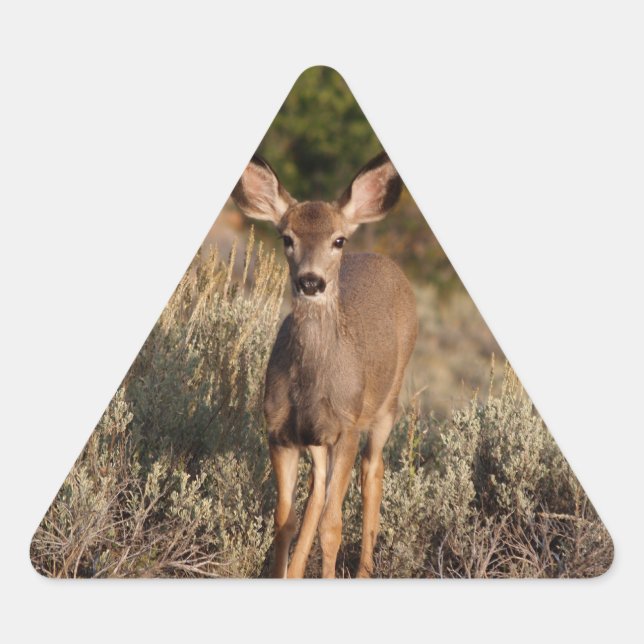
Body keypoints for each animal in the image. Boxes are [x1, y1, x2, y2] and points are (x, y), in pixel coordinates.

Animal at [232, 151, 417, 578]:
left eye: (338, 240)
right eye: (287, 238)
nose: (311, 281)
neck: (311, 386)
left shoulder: (345, 428)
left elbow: (332, 525)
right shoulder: (280, 431)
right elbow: (285, 520)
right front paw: (281, 574)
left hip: (387, 403)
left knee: (373, 470)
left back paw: (365, 570)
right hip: (316, 439)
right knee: (317, 489)